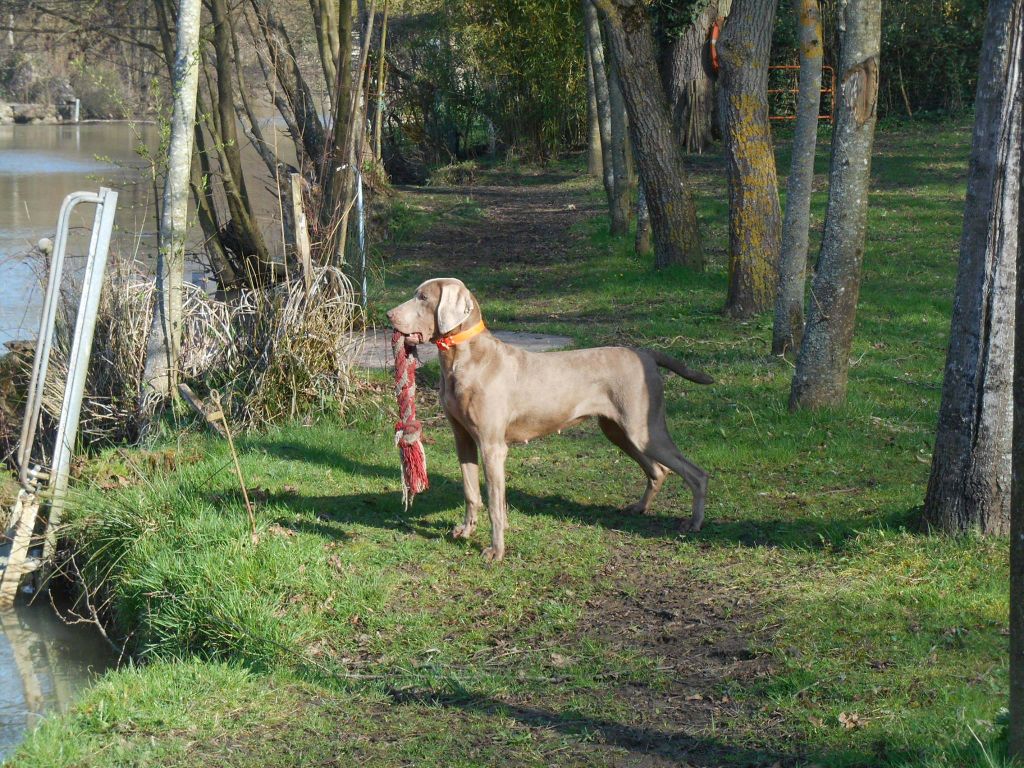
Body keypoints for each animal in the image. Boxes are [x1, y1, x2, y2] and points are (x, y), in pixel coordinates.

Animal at [387, 280, 716, 561]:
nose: (388, 314)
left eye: (423, 297)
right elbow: (471, 492)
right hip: (618, 431)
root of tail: (646, 353)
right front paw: (466, 531)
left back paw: (694, 523)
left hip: (642, 429)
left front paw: (496, 551)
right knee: (659, 470)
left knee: (695, 473)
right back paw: (640, 508)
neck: (463, 357)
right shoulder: (463, 439)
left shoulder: (493, 446)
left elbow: (495, 504)